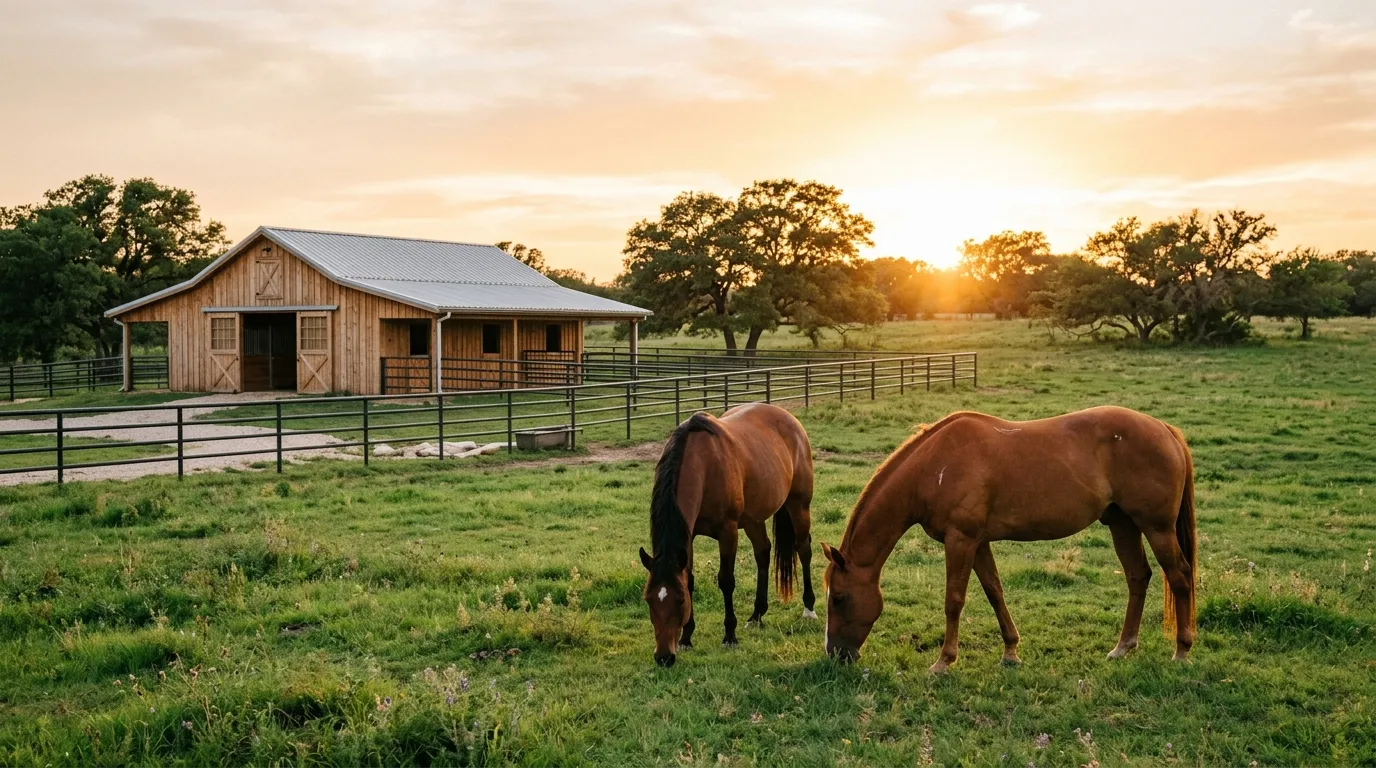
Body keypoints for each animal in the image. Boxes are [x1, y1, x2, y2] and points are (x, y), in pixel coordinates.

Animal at [640, 403, 817, 667]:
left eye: (679, 601)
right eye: (648, 599)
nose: (664, 657)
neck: (704, 465)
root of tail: (790, 418)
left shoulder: (728, 531)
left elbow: (726, 580)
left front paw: (729, 635)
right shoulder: (688, 536)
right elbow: (689, 580)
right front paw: (686, 638)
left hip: (799, 505)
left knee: (804, 549)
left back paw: (809, 608)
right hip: (754, 519)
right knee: (763, 552)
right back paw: (756, 615)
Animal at [820, 405, 1197, 672]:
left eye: (838, 597)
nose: (836, 654)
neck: (934, 467)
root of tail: (1166, 429)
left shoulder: (960, 540)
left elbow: (953, 600)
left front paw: (944, 661)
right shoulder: (978, 542)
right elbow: (994, 592)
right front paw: (1011, 651)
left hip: (1157, 528)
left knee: (1179, 577)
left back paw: (1182, 651)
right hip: (1123, 524)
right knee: (1138, 577)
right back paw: (1123, 647)